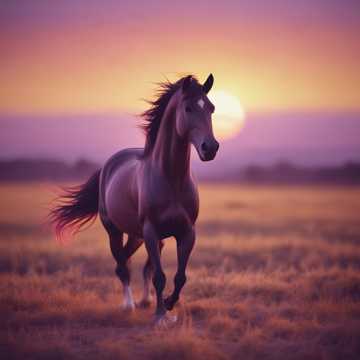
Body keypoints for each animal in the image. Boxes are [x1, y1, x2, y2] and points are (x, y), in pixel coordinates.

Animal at [50, 74, 219, 326]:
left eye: (211, 108)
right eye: (188, 108)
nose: (211, 148)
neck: (171, 179)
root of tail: (109, 164)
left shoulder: (186, 232)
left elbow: (179, 277)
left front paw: (168, 304)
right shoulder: (150, 230)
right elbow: (160, 276)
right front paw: (160, 316)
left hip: (140, 236)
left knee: (134, 263)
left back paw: (145, 301)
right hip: (117, 231)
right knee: (122, 265)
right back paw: (128, 305)